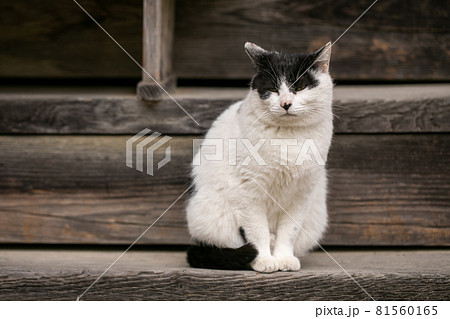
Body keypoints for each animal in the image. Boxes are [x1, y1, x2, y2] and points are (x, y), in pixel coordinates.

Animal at [186, 41, 334, 274]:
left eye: (300, 87)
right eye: (273, 89)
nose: (285, 103)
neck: (289, 139)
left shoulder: (302, 194)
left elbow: (289, 230)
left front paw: (284, 258)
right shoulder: (248, 192)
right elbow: (257, 231)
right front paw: (264, 260)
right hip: (210, 211)